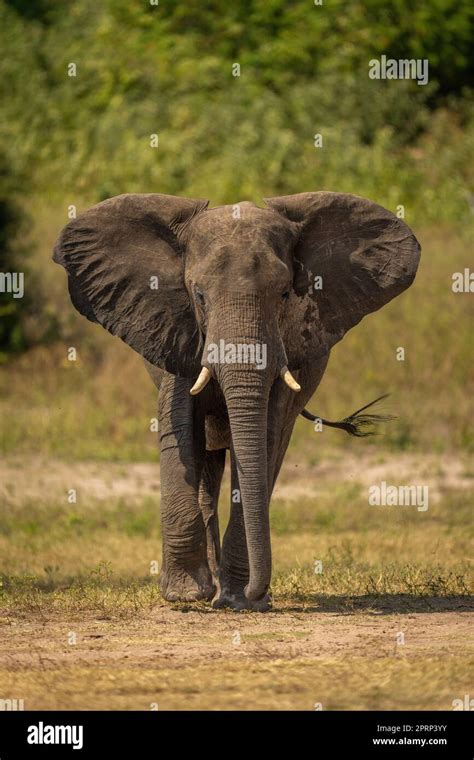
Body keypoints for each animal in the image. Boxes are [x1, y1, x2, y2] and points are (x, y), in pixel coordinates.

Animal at [53, 191, 420, 612]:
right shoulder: (178, 332)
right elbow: (180, 429)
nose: (257, 595)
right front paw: (185, 596)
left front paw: (238, 599)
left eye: (285, 294)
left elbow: (267, 437)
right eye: (198, 295)